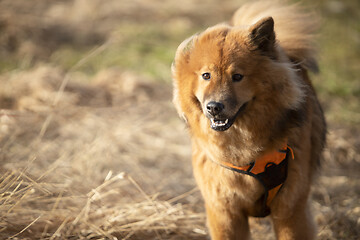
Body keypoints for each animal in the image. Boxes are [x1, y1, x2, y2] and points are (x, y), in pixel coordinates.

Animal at [172, 0, 326, 239]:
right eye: (206, 75)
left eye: (237, 77)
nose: (214, 107)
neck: (243, 151)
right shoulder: (225, 213)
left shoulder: (291, 210)